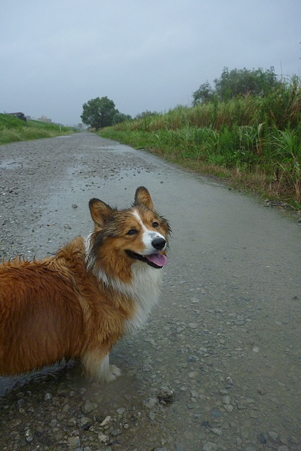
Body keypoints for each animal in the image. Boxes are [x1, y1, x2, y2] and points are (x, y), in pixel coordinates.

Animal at [0, 186, 169, 382]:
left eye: (154, 224)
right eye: (131, 232)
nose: (160, 242)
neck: (105, 271)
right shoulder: (99, 343)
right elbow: (101, 366)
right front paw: (108, 376)